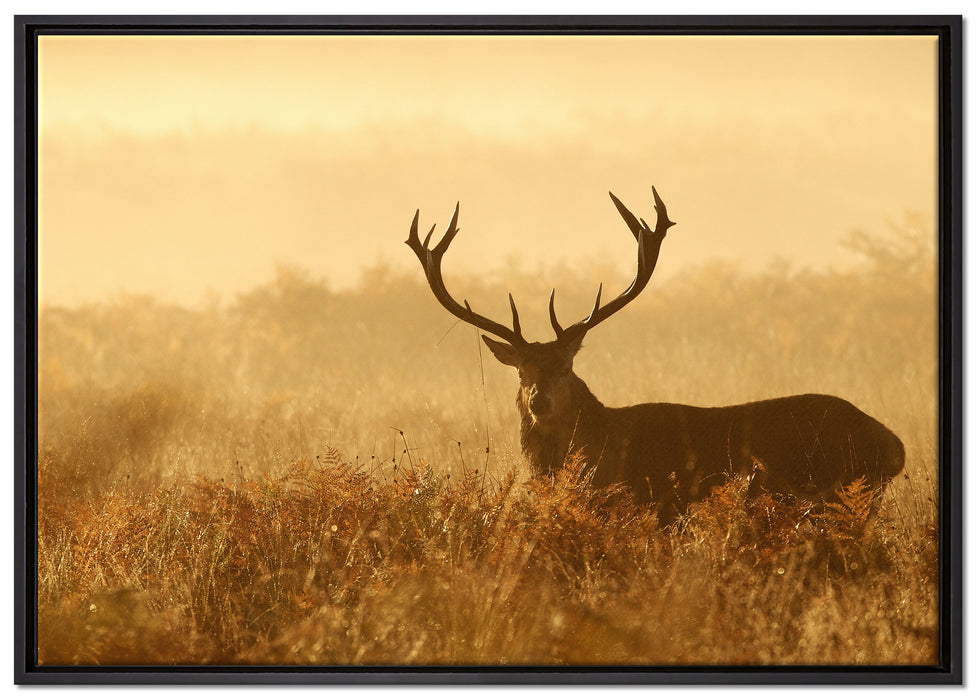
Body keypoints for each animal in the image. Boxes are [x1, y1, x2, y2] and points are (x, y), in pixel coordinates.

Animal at [406, 188, 905, 524]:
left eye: (567, 367)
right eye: (521, 371)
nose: (539, 401)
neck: (603, 447)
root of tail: (895, 447)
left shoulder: (657, 502)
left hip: (841, 493)